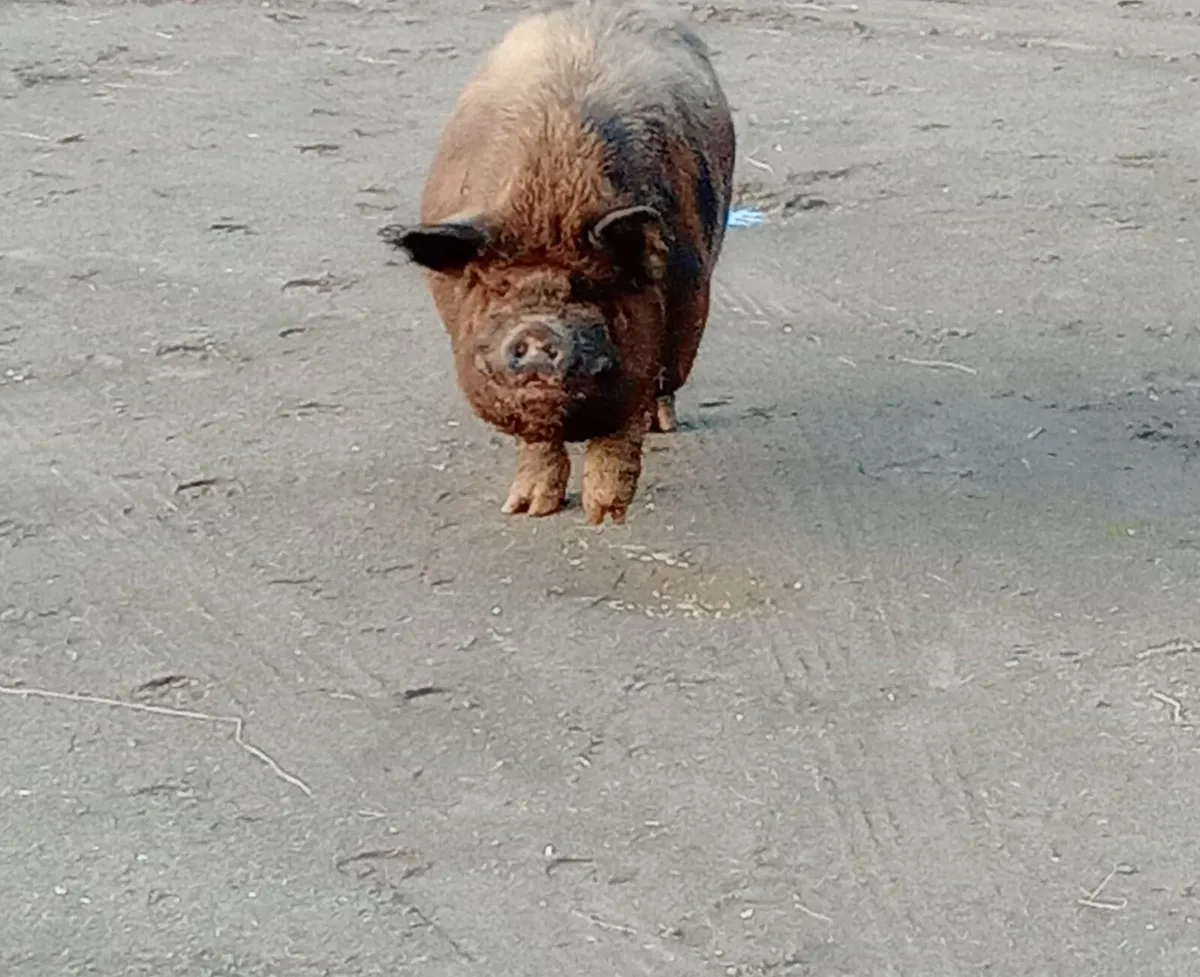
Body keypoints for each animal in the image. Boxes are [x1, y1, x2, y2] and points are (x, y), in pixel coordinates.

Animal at [379, 0, 735, 525]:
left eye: (588, 285)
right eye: (498, 288)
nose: (537, 331)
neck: (549, 203)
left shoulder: (675, 315)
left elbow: (625, 421)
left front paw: (604, 517)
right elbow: (537, 440)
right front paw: (527, 511)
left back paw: (664, 426)